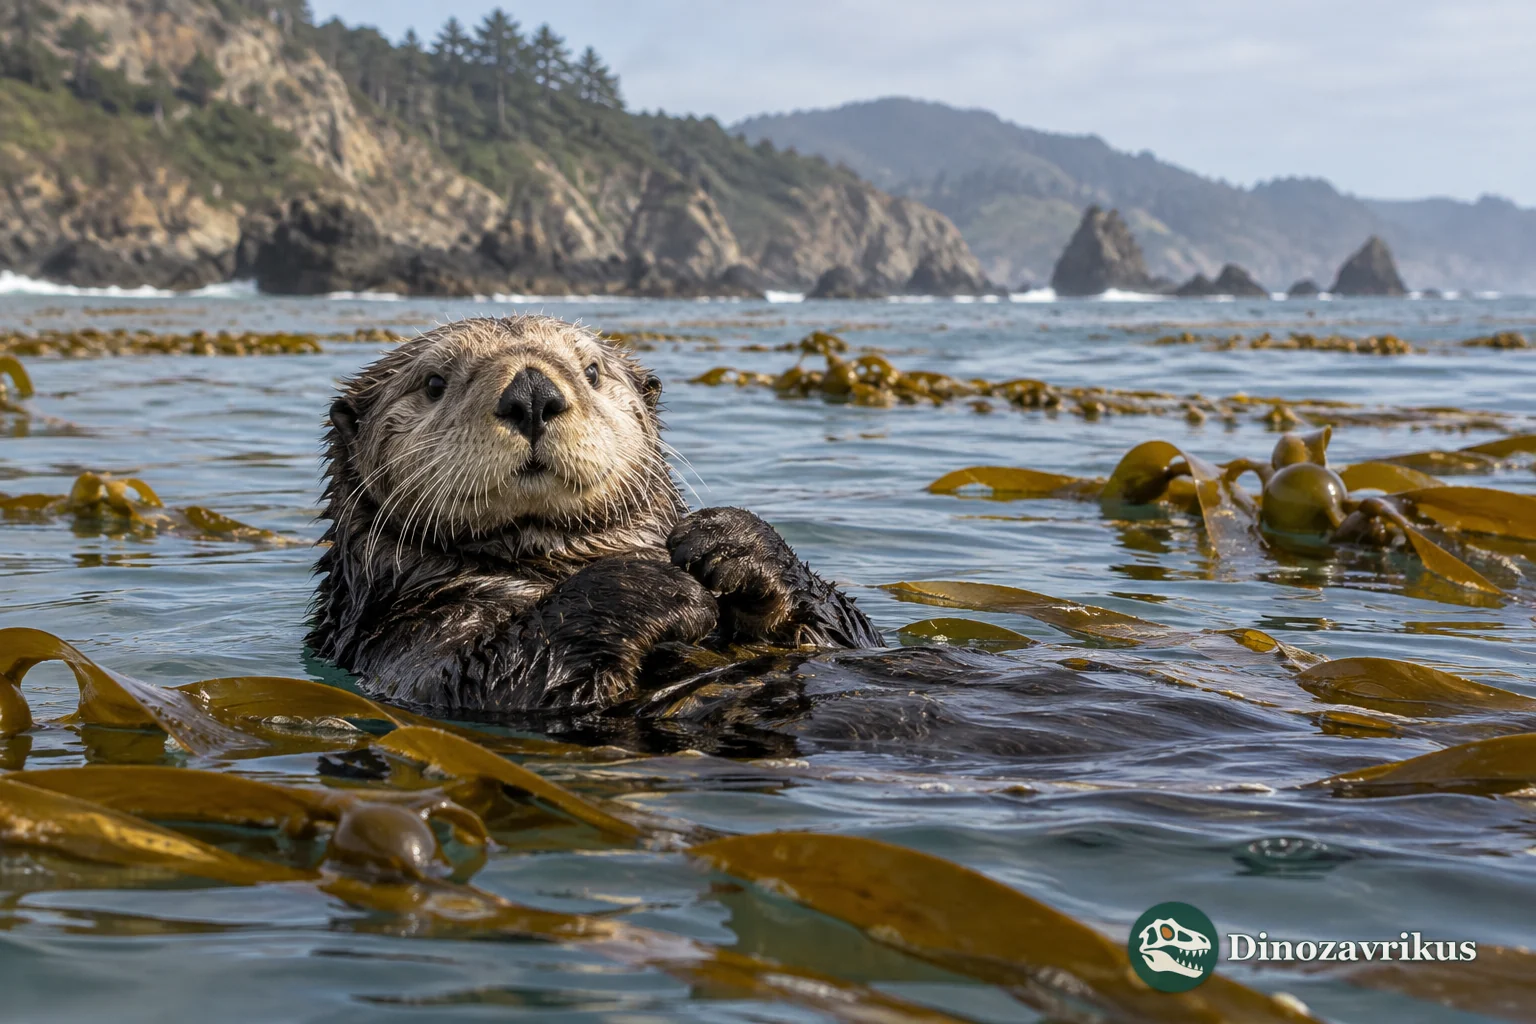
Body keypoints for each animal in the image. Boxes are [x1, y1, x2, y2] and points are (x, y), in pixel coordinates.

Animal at [308, 315, 882, 713]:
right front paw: (657, 584)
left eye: (591, 371)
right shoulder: (404, 644)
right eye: (433, 383)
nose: (532, 392)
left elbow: (848, 634)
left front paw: (732, 540)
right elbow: (489, 674)